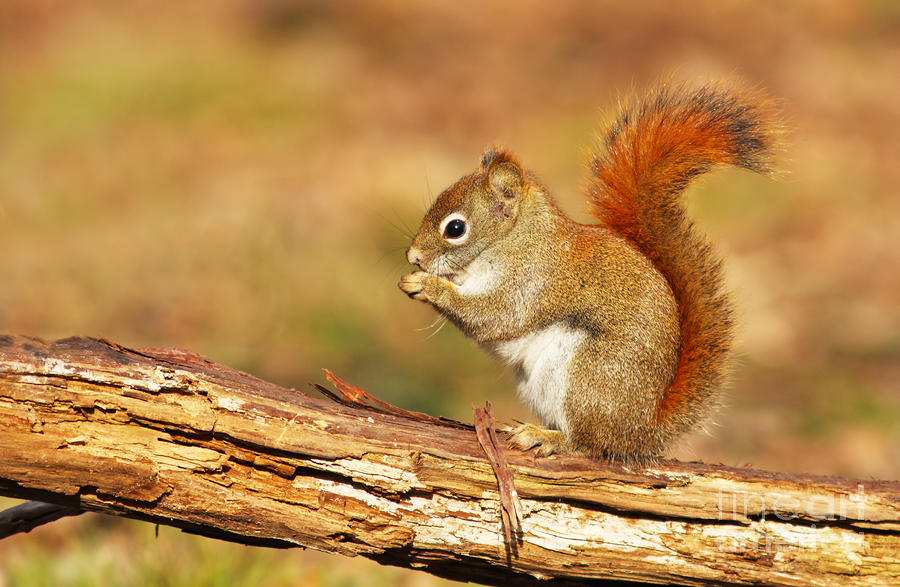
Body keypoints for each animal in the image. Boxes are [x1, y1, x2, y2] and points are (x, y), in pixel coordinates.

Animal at [398, 82, 776, 464]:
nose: (413, 256)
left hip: (588, 377)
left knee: (590, 443)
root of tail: (641, 433)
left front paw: (428, 286)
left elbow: (495, 316)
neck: (514, 239)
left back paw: (547, 437)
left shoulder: (533, 281)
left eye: (455, 228)